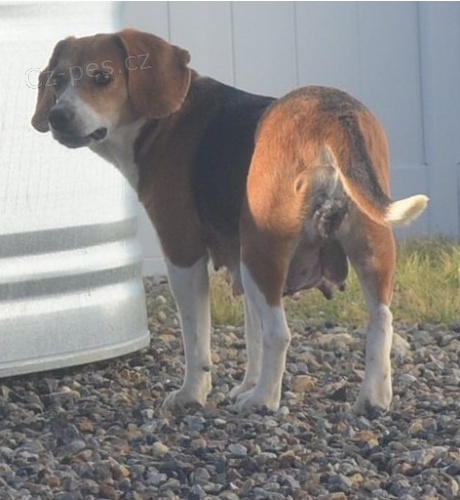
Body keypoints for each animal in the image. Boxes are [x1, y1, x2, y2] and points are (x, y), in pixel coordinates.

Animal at [32, 29, 428, 416]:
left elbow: (197, 338)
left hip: (261, 250)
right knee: (380, 322)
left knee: (279, 334)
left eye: (102, 78)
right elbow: (252, 335)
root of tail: (329, 112)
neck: (163, 121)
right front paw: (246, 384)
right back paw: (373, 399)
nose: (58, 116)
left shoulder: (184, 253)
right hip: (367, 249)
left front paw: (193, 393)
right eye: (57, 79)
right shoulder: (239, 262)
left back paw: (263, 401)